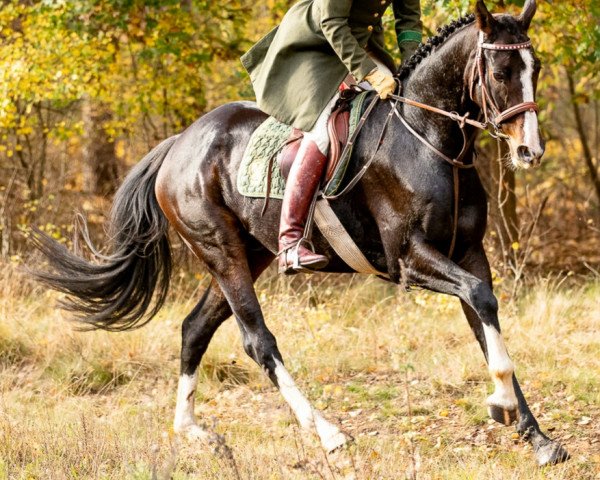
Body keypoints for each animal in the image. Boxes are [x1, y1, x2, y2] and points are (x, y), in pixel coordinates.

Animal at [31, 0, 568, 464]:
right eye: (499, 73)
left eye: (535, 68)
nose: (530, 152)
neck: (428, 137)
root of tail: (179, 142)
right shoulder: (409, 259)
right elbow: (480, 303)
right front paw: (503, 405)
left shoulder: (469, 254)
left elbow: (484, 317)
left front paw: (534, 434)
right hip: (221, 251)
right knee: (257, 340)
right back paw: (327, 431)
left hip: (249, 253)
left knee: (194, 329)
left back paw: (194, 432)